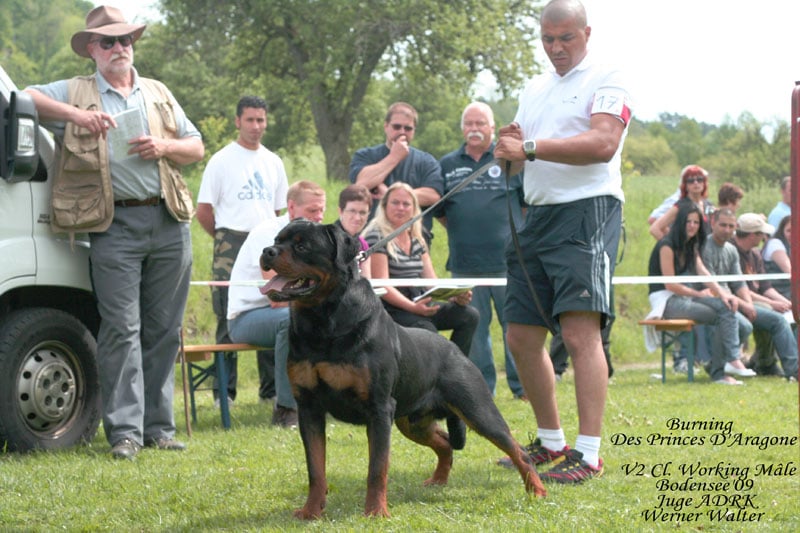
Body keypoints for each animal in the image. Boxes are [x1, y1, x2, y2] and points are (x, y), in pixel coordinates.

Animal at [260, 220, 546, 519]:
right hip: (412, 421)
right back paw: (438, 481)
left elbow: (377, 468)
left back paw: (537, 491)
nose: (267, 251)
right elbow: (316, 469)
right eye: (277, 240)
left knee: (516, 449)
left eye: (302, 246)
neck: (321, 322)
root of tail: (455, 349)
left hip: (476, 409)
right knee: (445, 443)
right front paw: (311, 511)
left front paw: (375, 512)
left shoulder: (379, 408)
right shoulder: (309, 407)